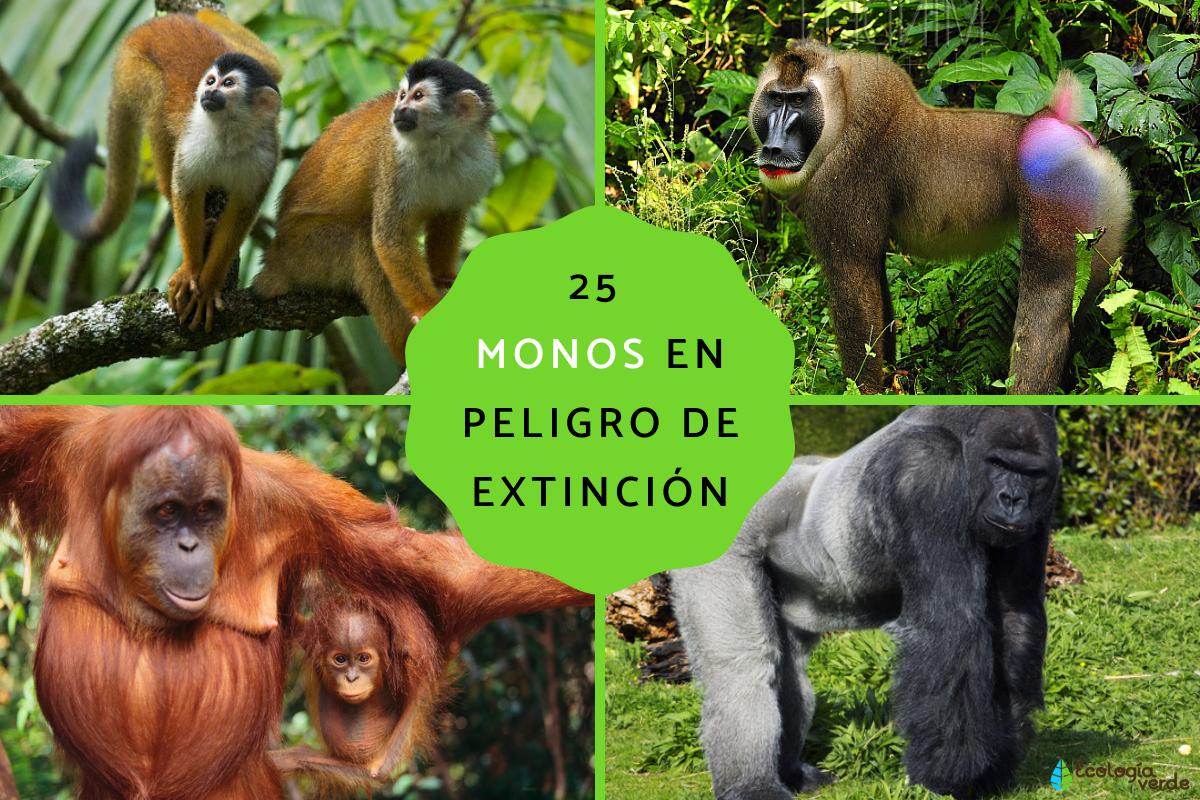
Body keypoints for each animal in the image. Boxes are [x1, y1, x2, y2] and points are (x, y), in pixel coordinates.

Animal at [49, 11, 282, 331]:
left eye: (228, 84)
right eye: (211, 81)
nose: (207, 91)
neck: (229, 134)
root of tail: (148, 28)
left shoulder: (266, 156)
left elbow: (242, 212)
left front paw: (209, 283)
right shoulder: (192, 143)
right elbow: (185, 191)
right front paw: (191, 269)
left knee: (274, 67)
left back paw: (207, 15)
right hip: (132, 70)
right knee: (158, 99)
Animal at [253, 58, 498, 367]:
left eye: (418, 96)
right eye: (402, 95)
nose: (398, 110)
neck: (442, 146)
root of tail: (274, 257)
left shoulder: (480, 158)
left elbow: (448, 214)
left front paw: (443, 277)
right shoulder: (392, 161)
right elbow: (388, 238)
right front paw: (427, 309)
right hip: (303, 252)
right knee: (362, 240)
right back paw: (405, 348)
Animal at [749, 41, 1132, 394]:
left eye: (798, 101)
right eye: (776, 100)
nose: (774, 147)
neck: (842, 105)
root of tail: (1052, 120)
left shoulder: (843, 181)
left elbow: (855, 290)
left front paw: (864, 392)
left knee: (1048, 310)